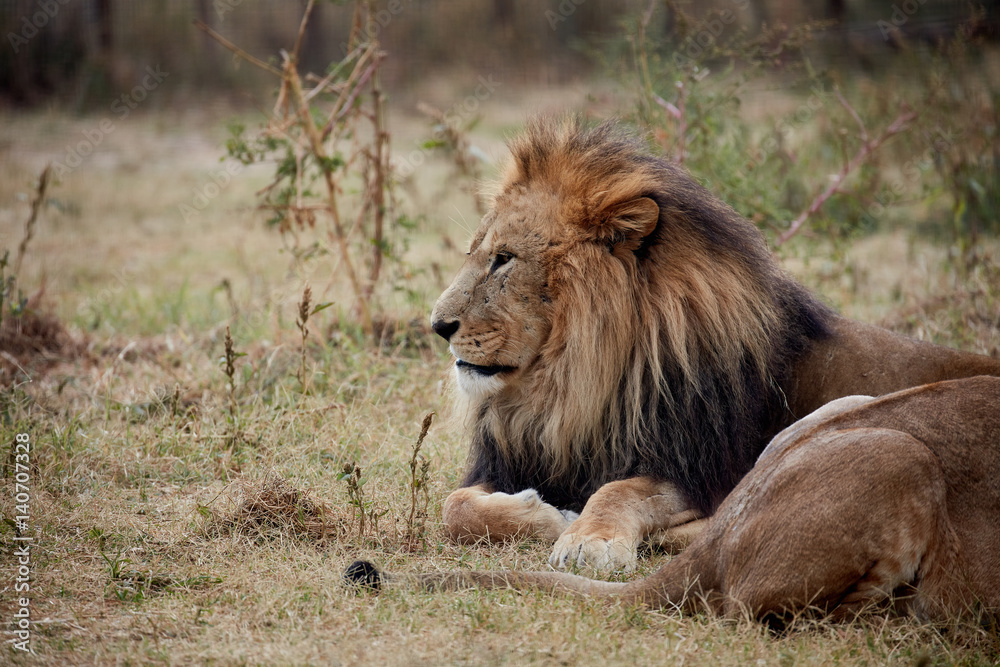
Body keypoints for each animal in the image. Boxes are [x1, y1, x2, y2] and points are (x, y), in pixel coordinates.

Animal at [429, 117, 1000, 573]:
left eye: (504, 259)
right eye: (477, 253)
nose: (438, 325)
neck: (572, 388)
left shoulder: (694, 467)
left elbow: (620, 488)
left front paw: (587, 537)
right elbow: (454, 506)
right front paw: (548, 514)